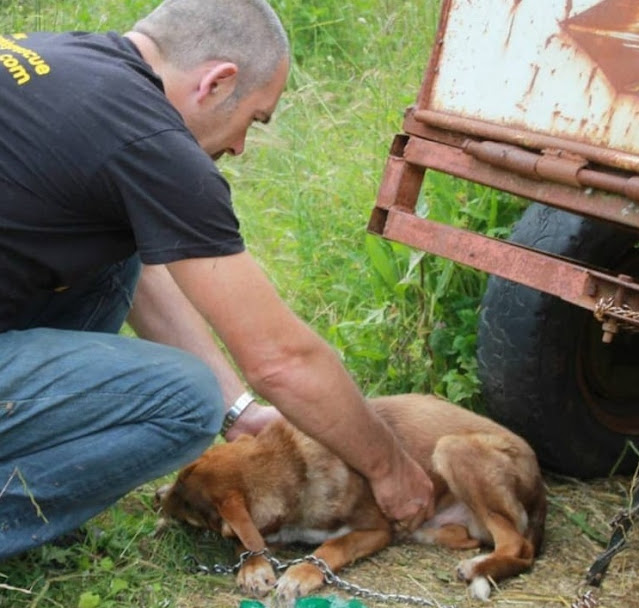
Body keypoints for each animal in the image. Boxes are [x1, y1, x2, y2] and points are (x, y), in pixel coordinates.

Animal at [158, 394, 548, 604]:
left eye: (185, 501)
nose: (157, 497)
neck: (293, 464)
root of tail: (540, 484)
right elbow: (249, 541)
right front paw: (254, 568)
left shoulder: (375, 530)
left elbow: (331, 547)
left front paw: (300, 574)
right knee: (470, 538)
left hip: (453, 448)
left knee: (517, 546)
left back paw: (478, 568)